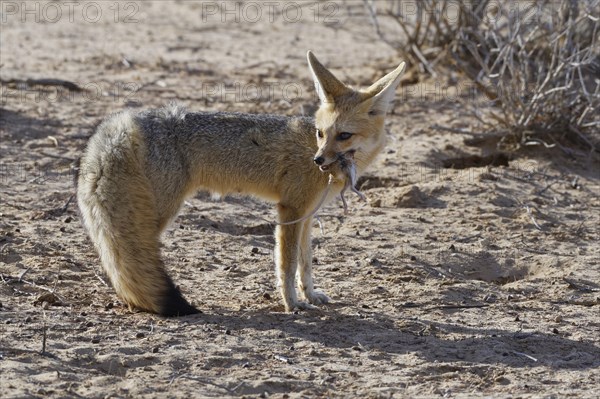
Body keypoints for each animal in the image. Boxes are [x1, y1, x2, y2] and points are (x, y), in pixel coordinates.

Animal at [77, 52, 406, 316]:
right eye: (321, 133)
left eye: (344, 135)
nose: (318, 160)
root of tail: (124, 122)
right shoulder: (290, 210)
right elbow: (287, 264)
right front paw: (292, 304)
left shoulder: (307, 216)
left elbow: (306, 262)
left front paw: (311, 295)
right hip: (155, 216)